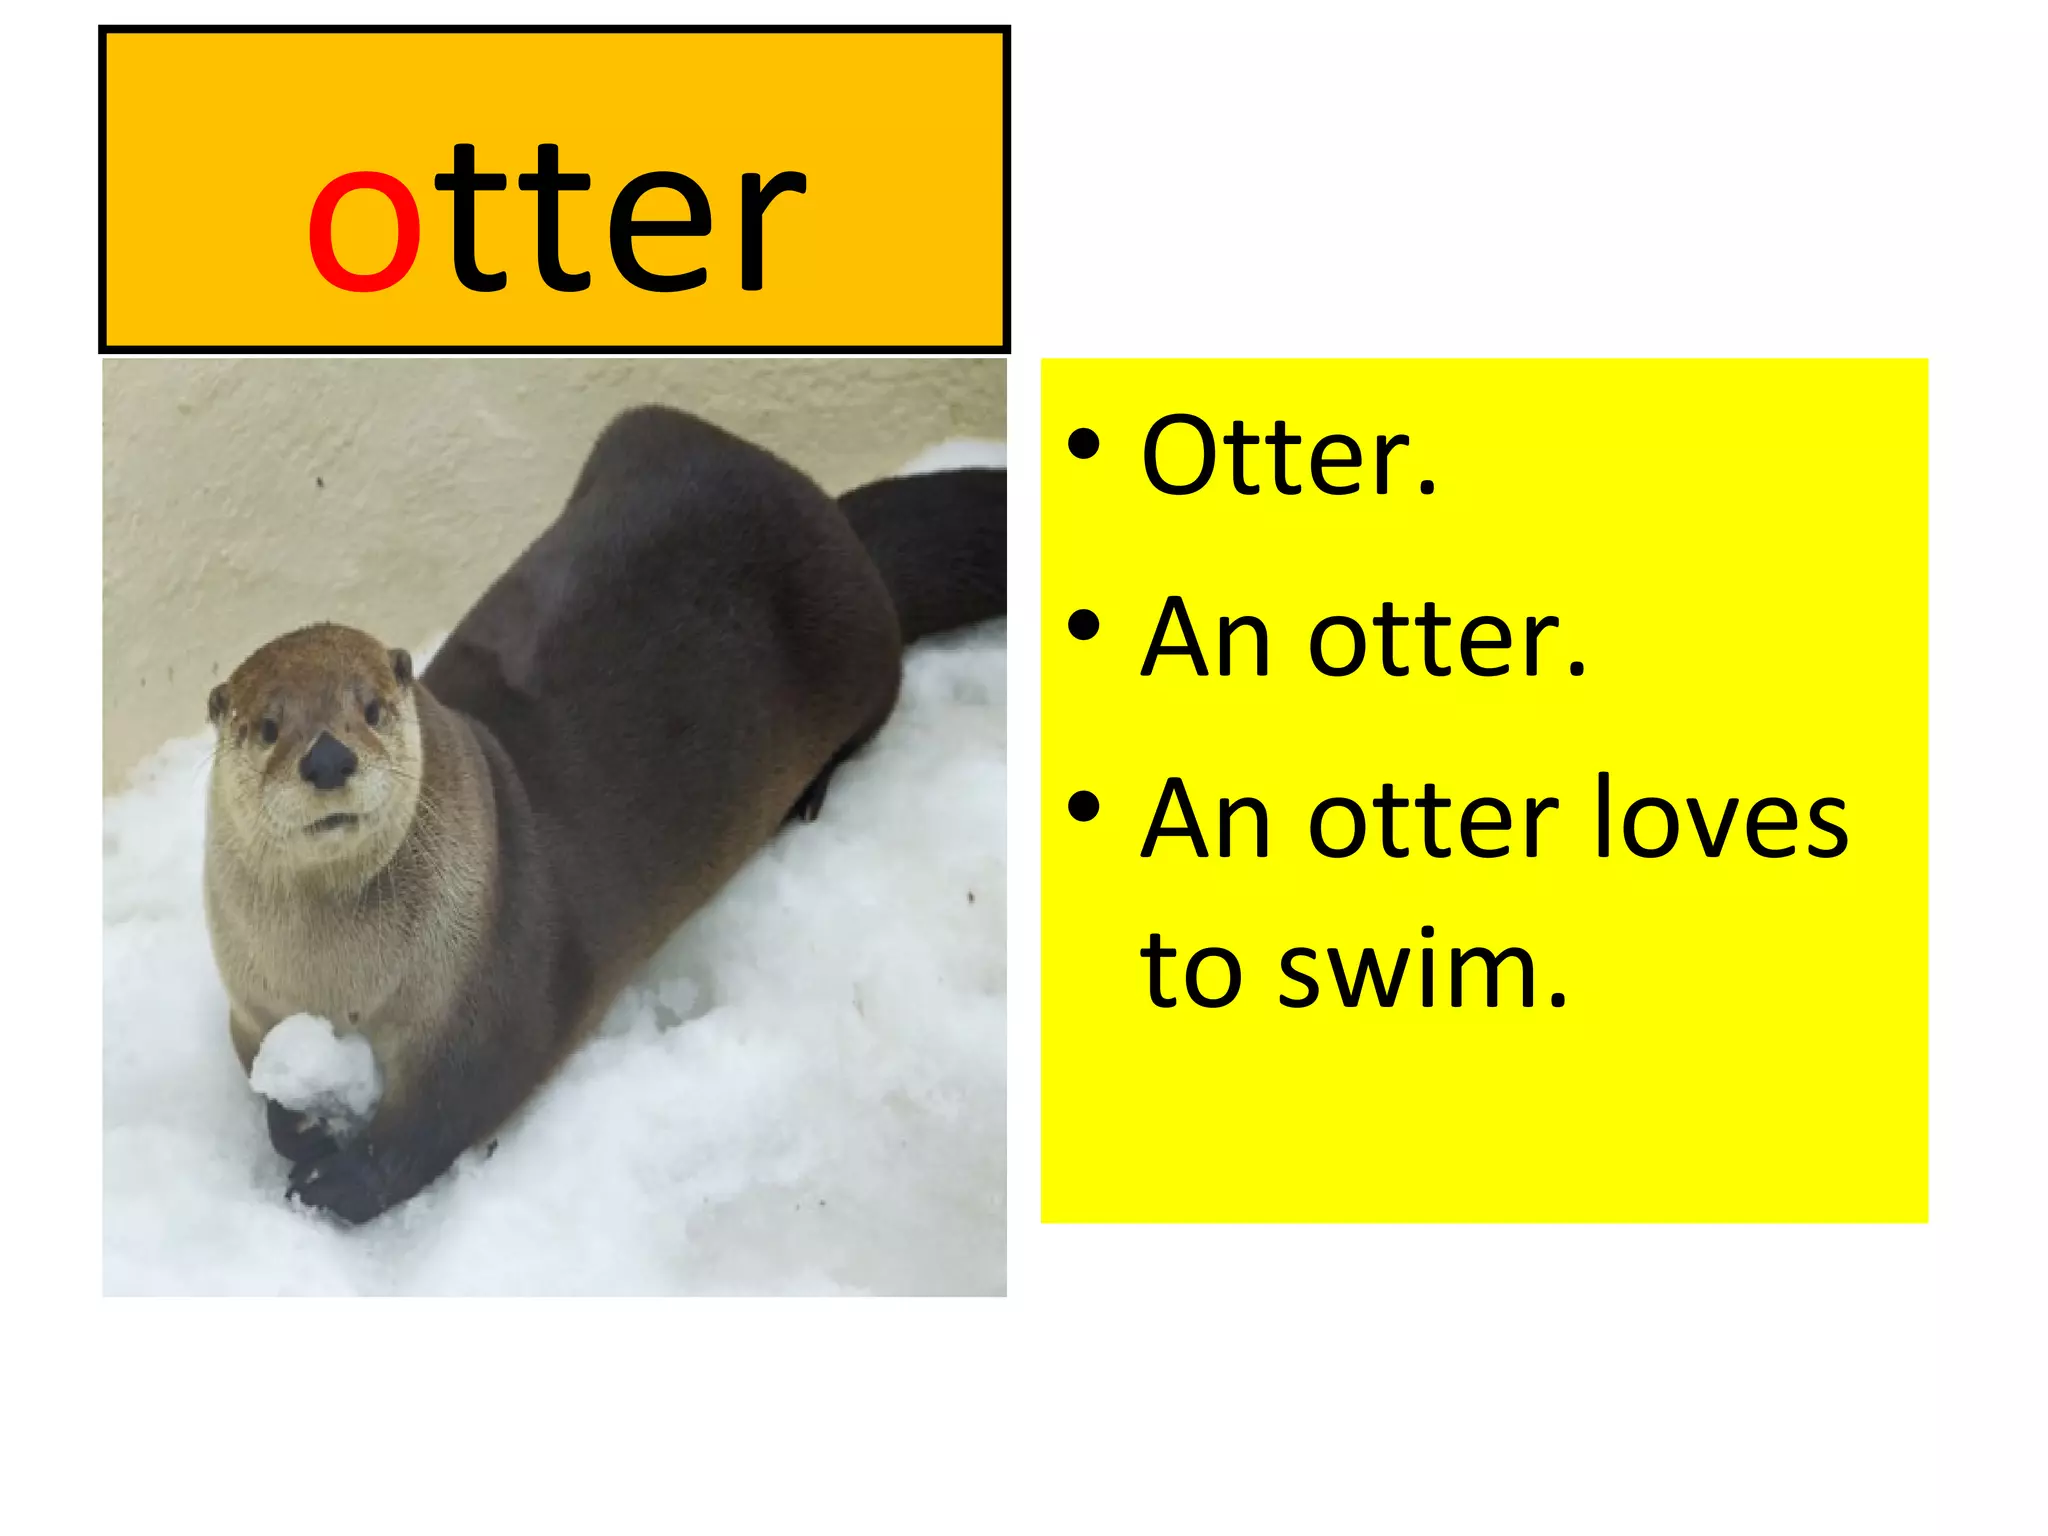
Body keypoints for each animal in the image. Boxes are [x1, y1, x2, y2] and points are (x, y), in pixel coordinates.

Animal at [202, 406, 1005, 1223]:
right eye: (267, 727)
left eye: (370, 709)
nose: (329, 758)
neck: (335, 985)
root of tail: (829, 516)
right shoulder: (254, 1003)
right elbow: (260, 1071)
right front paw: (298, 1127)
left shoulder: (487, 1001)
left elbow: (442, 1115)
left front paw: (340, 1181)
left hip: (854, 646)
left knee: (880, 702)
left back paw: (810, 793)